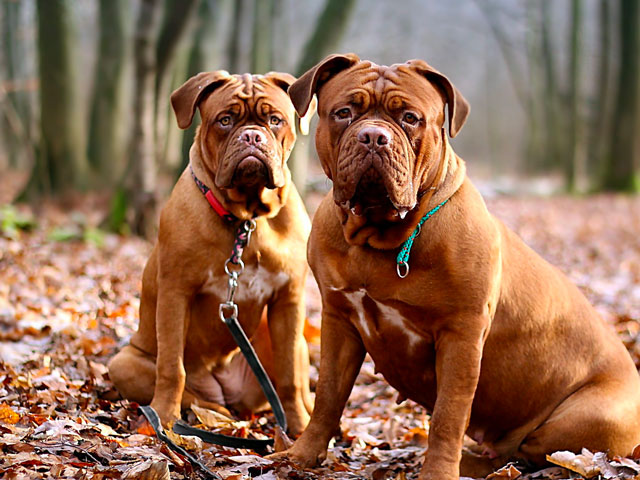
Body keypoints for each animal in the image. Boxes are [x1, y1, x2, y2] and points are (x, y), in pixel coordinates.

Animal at [109, 69, 314, 434]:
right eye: (225, 120)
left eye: (274, 120)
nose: (251, 136)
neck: (247, 220)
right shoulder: (176, 294)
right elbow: (171, 367)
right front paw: (163, 417)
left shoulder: (288, 300)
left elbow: (289, 375)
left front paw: (300, 429)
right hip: (125, 362)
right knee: (191, 392)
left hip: (293, 341)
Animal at [272, 53, 640, 480]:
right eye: (344, 113)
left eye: (410, 118)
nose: (374, 136)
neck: (382, 236)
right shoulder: (339, 320)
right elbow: (328, 395)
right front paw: (301, 455)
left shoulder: (461, 335)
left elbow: (448, 415)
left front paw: (438, 471)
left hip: (584, 418)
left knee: (530, 452)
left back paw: (464, 462)